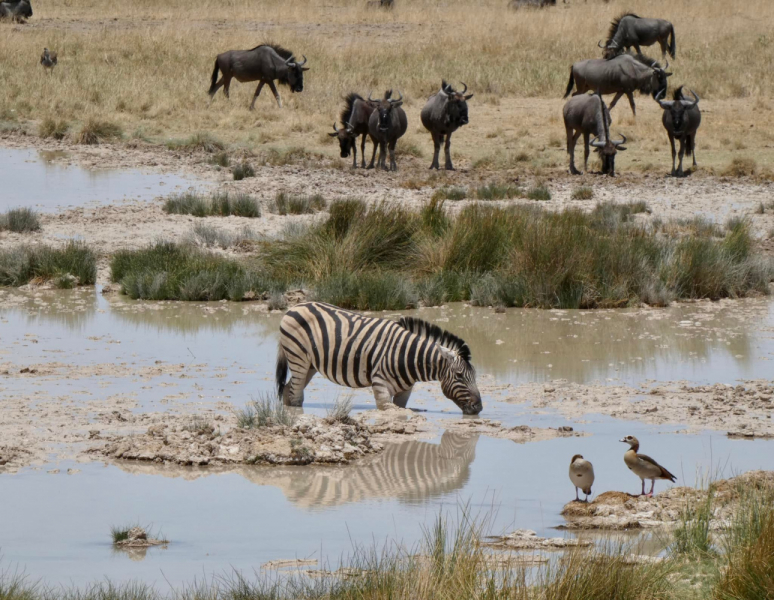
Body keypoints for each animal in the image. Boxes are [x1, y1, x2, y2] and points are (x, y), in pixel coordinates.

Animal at [278, 302, 484, 414]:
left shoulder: (405, 391)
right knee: (295, 395)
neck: (409, 357)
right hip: (298, 357)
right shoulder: (380, 385)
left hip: (310, 364)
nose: (479, 408)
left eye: (475, 376)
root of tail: (295, 306)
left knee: (289, 390)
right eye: (459, 375)